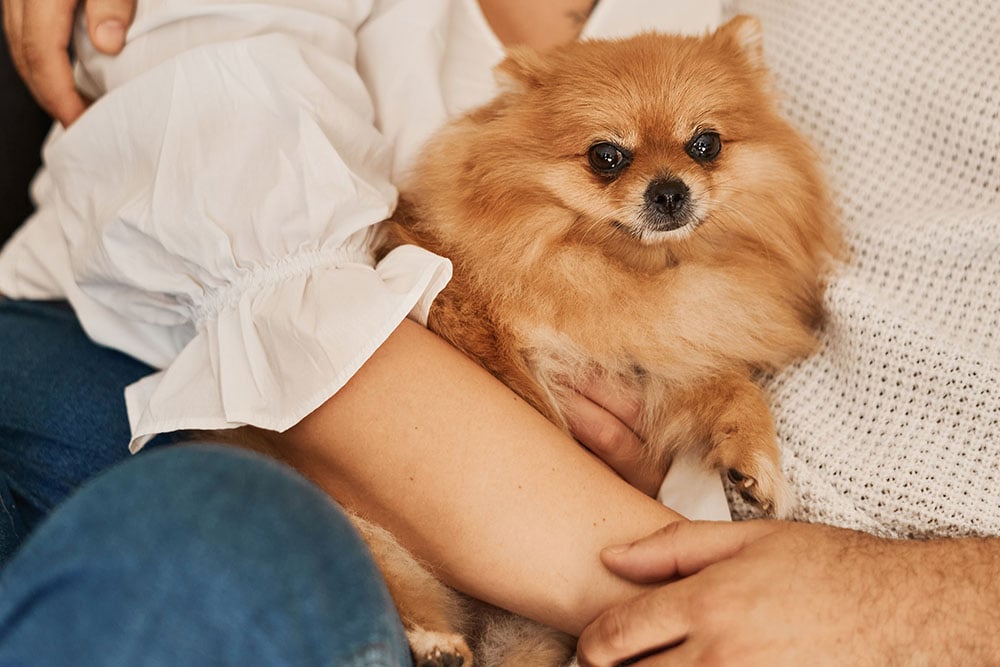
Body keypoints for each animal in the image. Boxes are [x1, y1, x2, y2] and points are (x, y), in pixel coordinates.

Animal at [362, 15, 844, 667]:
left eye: (706, 145)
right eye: (606, 156)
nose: (668, 190)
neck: (636, 270)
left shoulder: (651, 360)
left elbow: (732, 387)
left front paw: (753, 461)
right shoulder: (514, 340)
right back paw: (432, 642)